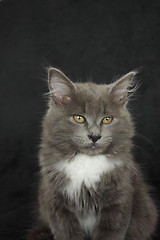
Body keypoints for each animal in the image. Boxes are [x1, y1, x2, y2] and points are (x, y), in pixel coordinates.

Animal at [28, 67, 158, 240]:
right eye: (79, 118)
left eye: (107, 119)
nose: (95, 136)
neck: (86, 161)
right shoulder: (57, 202)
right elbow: (67, 232)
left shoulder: (118, 201)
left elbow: (110, 233)